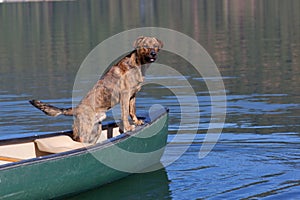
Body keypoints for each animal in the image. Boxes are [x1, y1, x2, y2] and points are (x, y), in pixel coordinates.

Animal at [29, 36, 163, 144]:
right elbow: (125, 114)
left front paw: (137, 121)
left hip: (96, 129)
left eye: (155, 46)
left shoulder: (133, 95)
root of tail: (76, 109)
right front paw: (129, 127)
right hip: (86, 130)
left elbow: (132, 110)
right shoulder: (125, 95)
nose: (153, 53)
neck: (138, 64)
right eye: (145, 46)